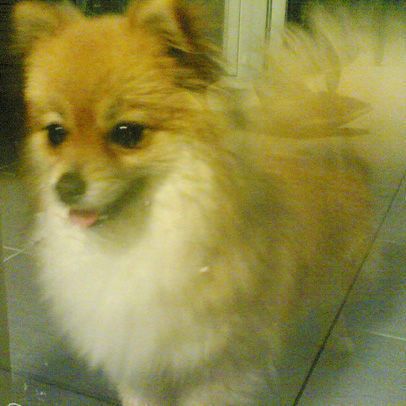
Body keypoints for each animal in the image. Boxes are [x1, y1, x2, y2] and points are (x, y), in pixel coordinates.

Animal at [13, 0, 405, 404]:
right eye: (56, 134)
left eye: (127, 133)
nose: (65, 187)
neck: (136, 240)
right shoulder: (139, 363)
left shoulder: (217, 369)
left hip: (338, 263)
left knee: (333, 303)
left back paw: (337, 341)